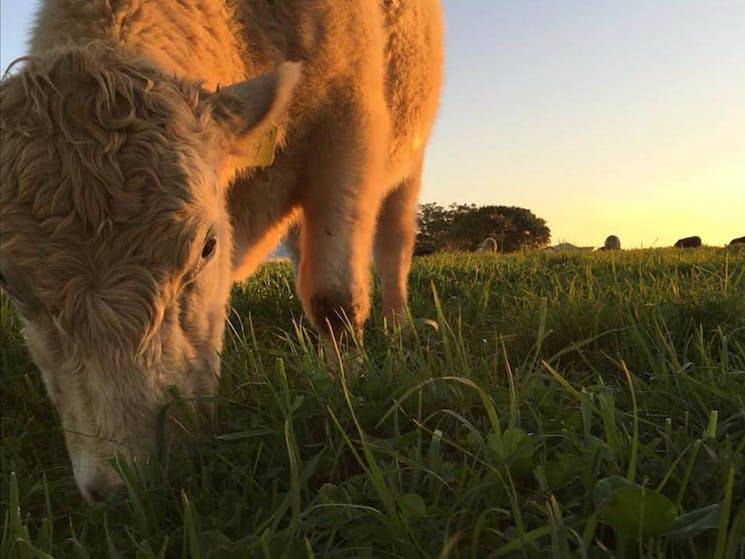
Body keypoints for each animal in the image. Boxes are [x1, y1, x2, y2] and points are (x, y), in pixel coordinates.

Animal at [0, 0, 442, 506]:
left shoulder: (348, 127)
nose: (127, 483)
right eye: (7, 280)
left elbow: (334, 295)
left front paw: (346, 385)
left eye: (206, 246)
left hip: (408, 160)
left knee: (393, 240)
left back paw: (398, 322)